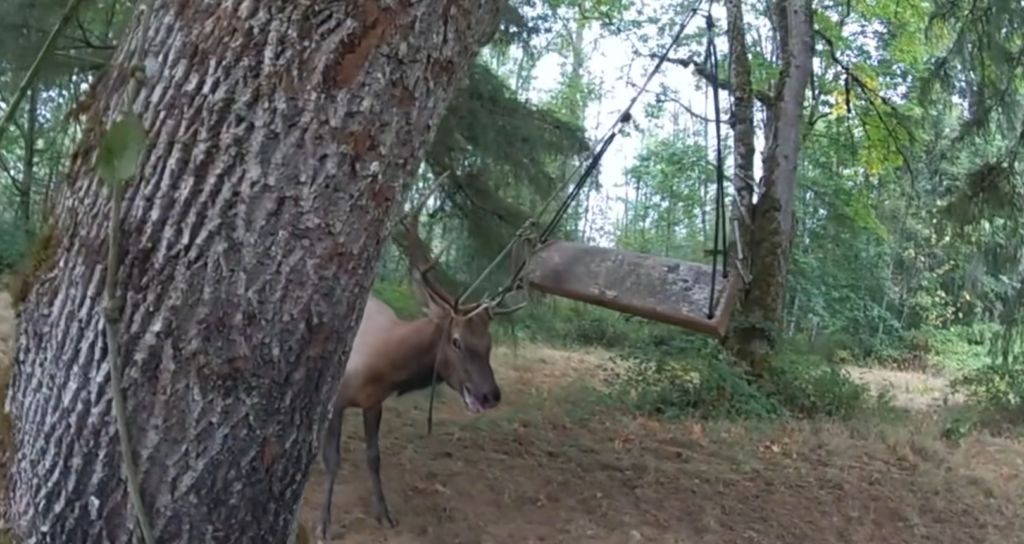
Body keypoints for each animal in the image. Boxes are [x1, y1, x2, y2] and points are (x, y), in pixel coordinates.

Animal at [318, 186, 526, 540]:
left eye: (489, 342)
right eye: (456, 340)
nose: (490, 394)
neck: (378, 368)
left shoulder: (374, 403)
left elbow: (374, 457)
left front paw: (384, 514)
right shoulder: (339, 397)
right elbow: (334, 459)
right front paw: (324, 524)